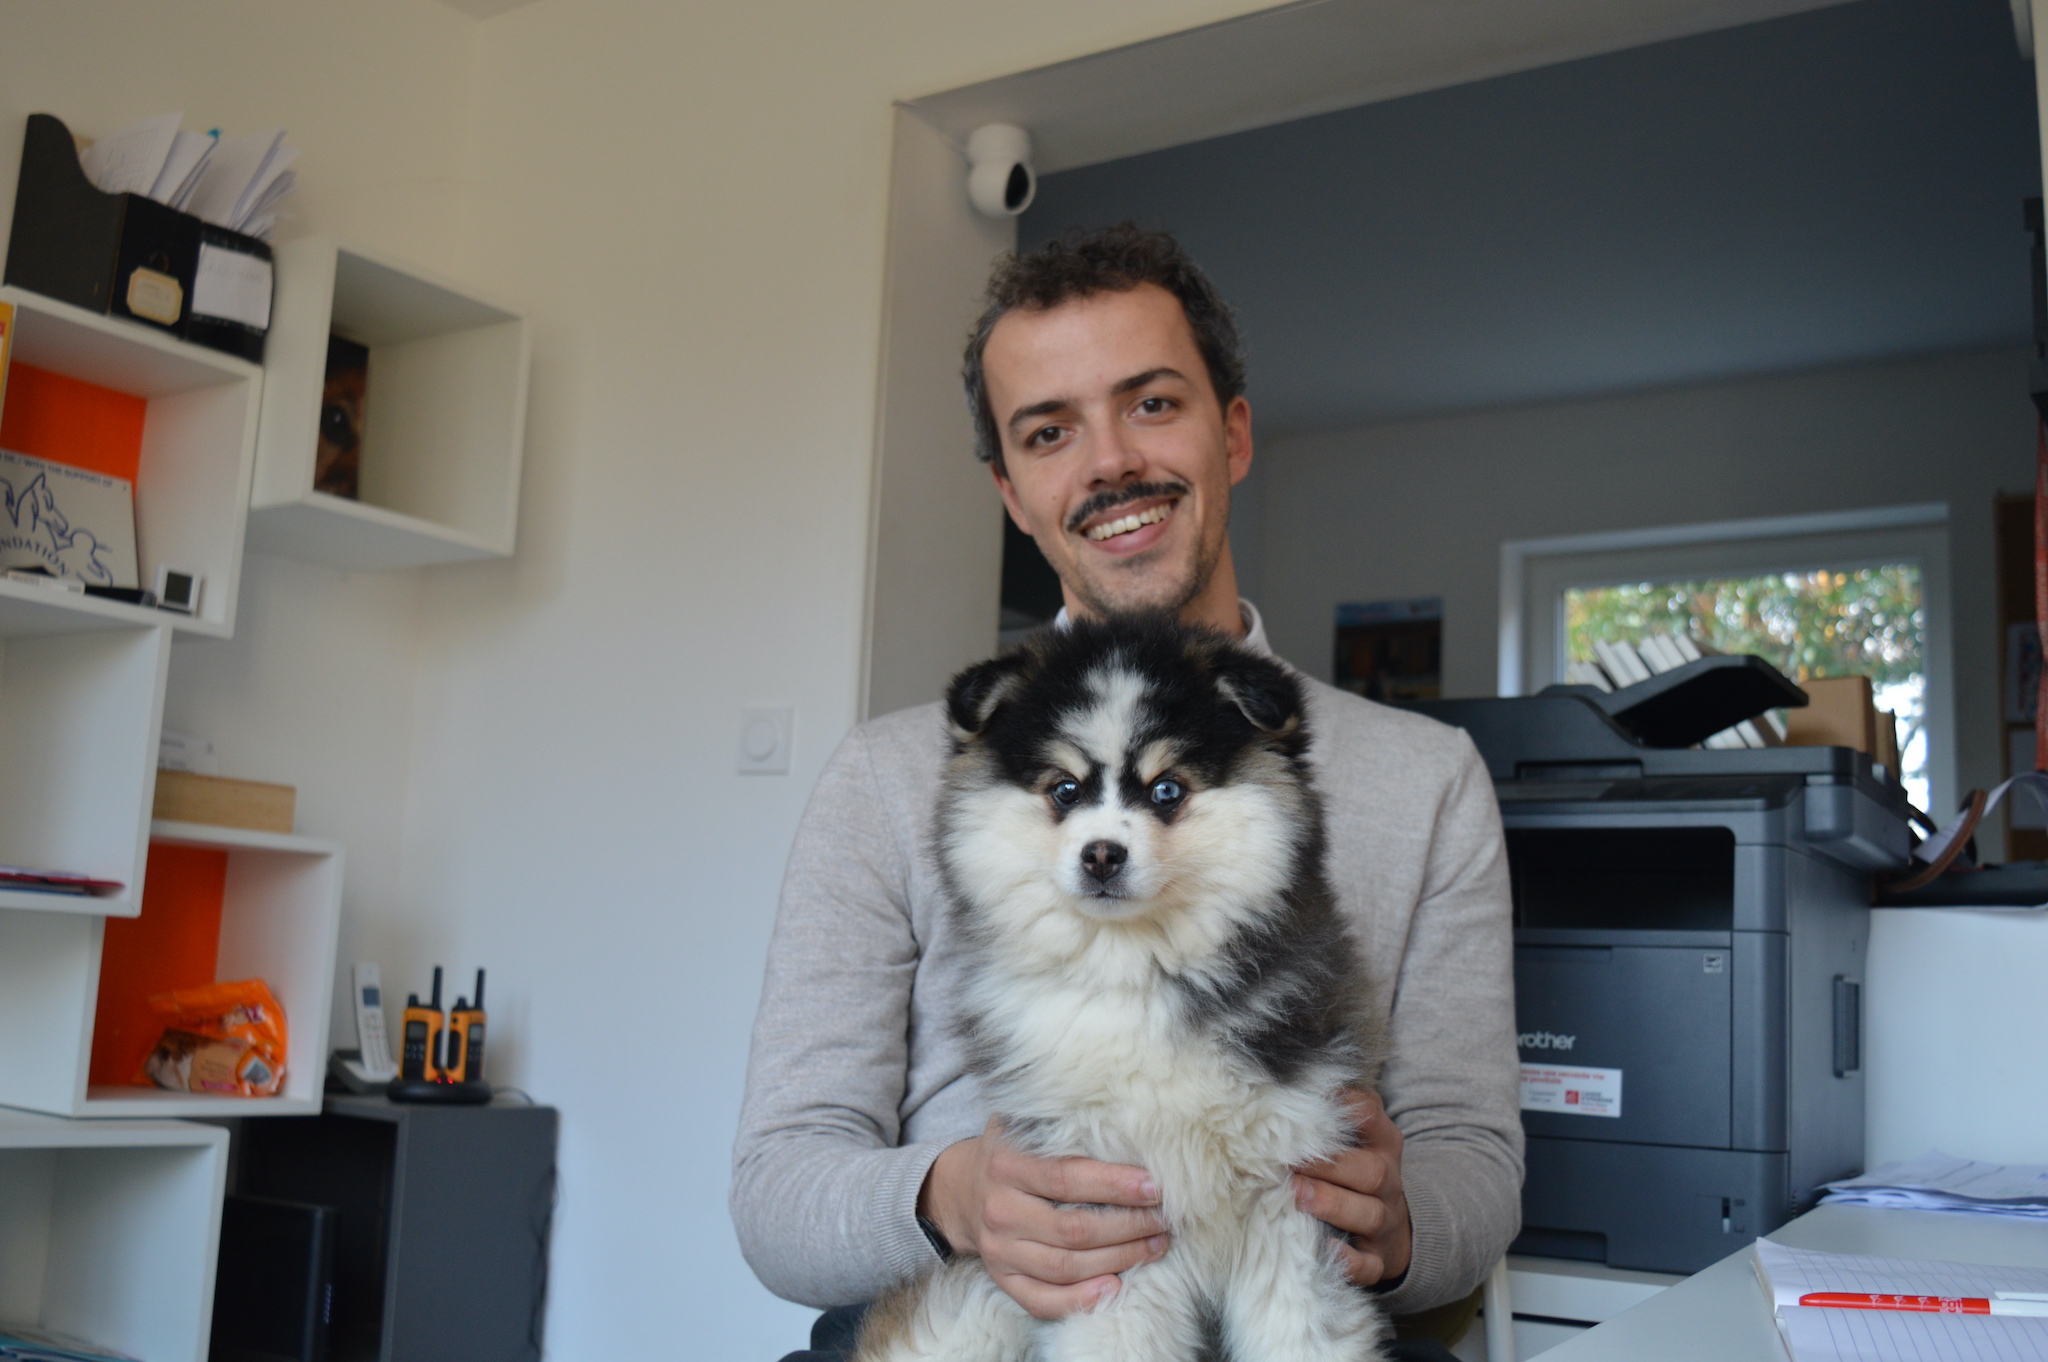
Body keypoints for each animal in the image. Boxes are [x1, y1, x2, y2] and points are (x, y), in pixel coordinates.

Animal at [847, 614, 1392, 1359]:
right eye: (1064, 790)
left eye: (1167, 790)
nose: (1101, 854)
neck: (1135, 973)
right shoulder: (1103, 1213)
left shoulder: (1296, 1188)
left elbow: (1303, 1333)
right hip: (966, 1311)